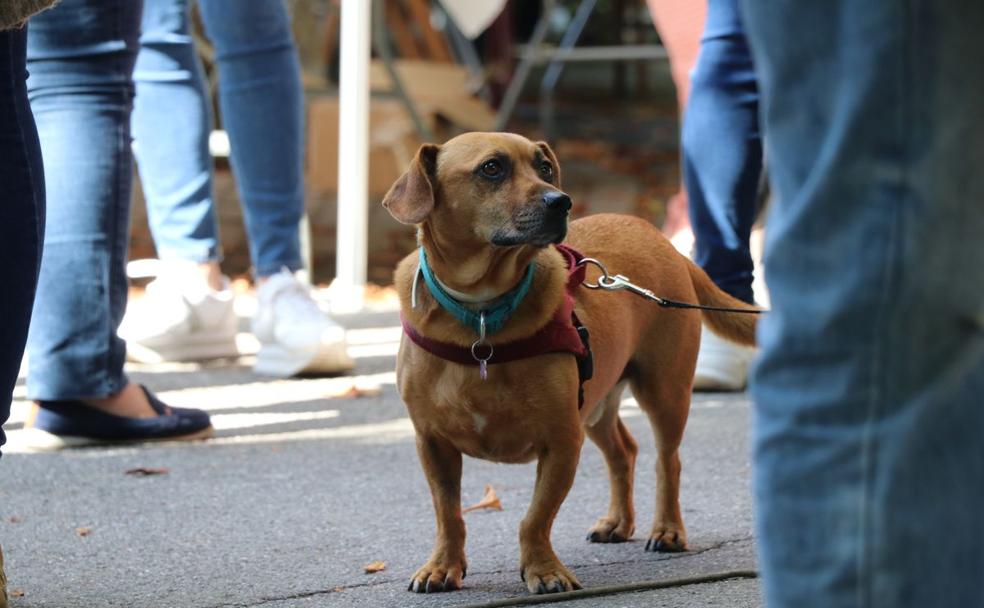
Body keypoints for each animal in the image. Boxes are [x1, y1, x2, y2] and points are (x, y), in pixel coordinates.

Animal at [380, 132, 756, 592]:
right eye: (492, 168)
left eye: (544, 167)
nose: (561, 202)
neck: (482, 317)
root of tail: (665, 243)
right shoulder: (433, 445)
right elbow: (448, 514)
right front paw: (442, 565)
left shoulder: (562, 441)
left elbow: (535, 518)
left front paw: (543, 570)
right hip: (596, 404)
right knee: (624, 451)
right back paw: (618, 523)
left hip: (664, 393)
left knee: (668, 461)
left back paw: (667, 529)